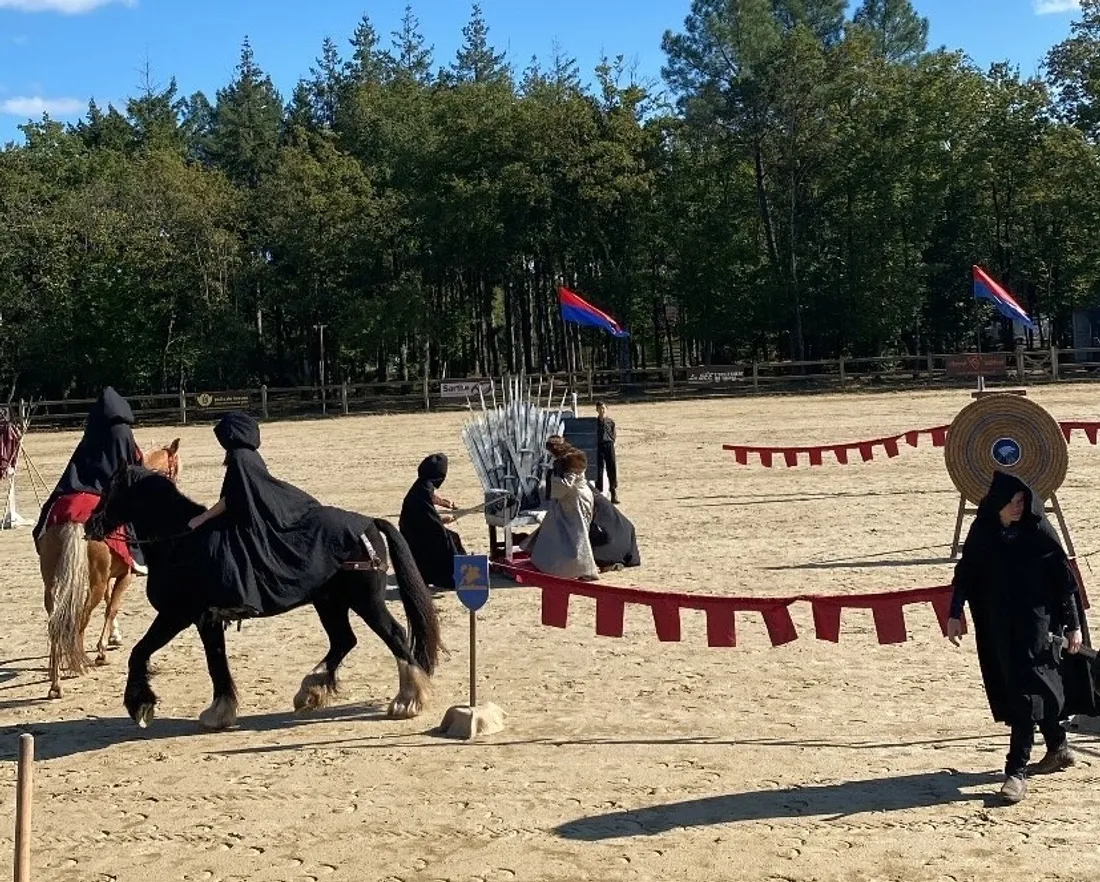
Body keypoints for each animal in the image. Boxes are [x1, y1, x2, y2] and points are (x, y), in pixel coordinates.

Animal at [39, 435, 180, 699]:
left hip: (52, 584)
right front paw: (102, 650)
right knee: (81, 618)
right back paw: (79, 663)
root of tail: (73, 518)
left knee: (56, 622)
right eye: (173, 470)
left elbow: (108, 603)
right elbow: (112, 608)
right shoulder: (124, 575)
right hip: (93, 582)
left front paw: (113, 637)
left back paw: (56, 682)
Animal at [84, 459, 442, 730]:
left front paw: (140, 705)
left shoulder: (177, 615)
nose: (89, 525)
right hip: (329, 602)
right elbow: (216, 663)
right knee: (343, 640)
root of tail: (369, 524)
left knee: (394, 635)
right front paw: (220, 712)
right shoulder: (206, 620)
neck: (179, 541)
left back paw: (407, 701)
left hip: (366, 602)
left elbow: (140, 653)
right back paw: (310, 691)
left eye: (110, 491)